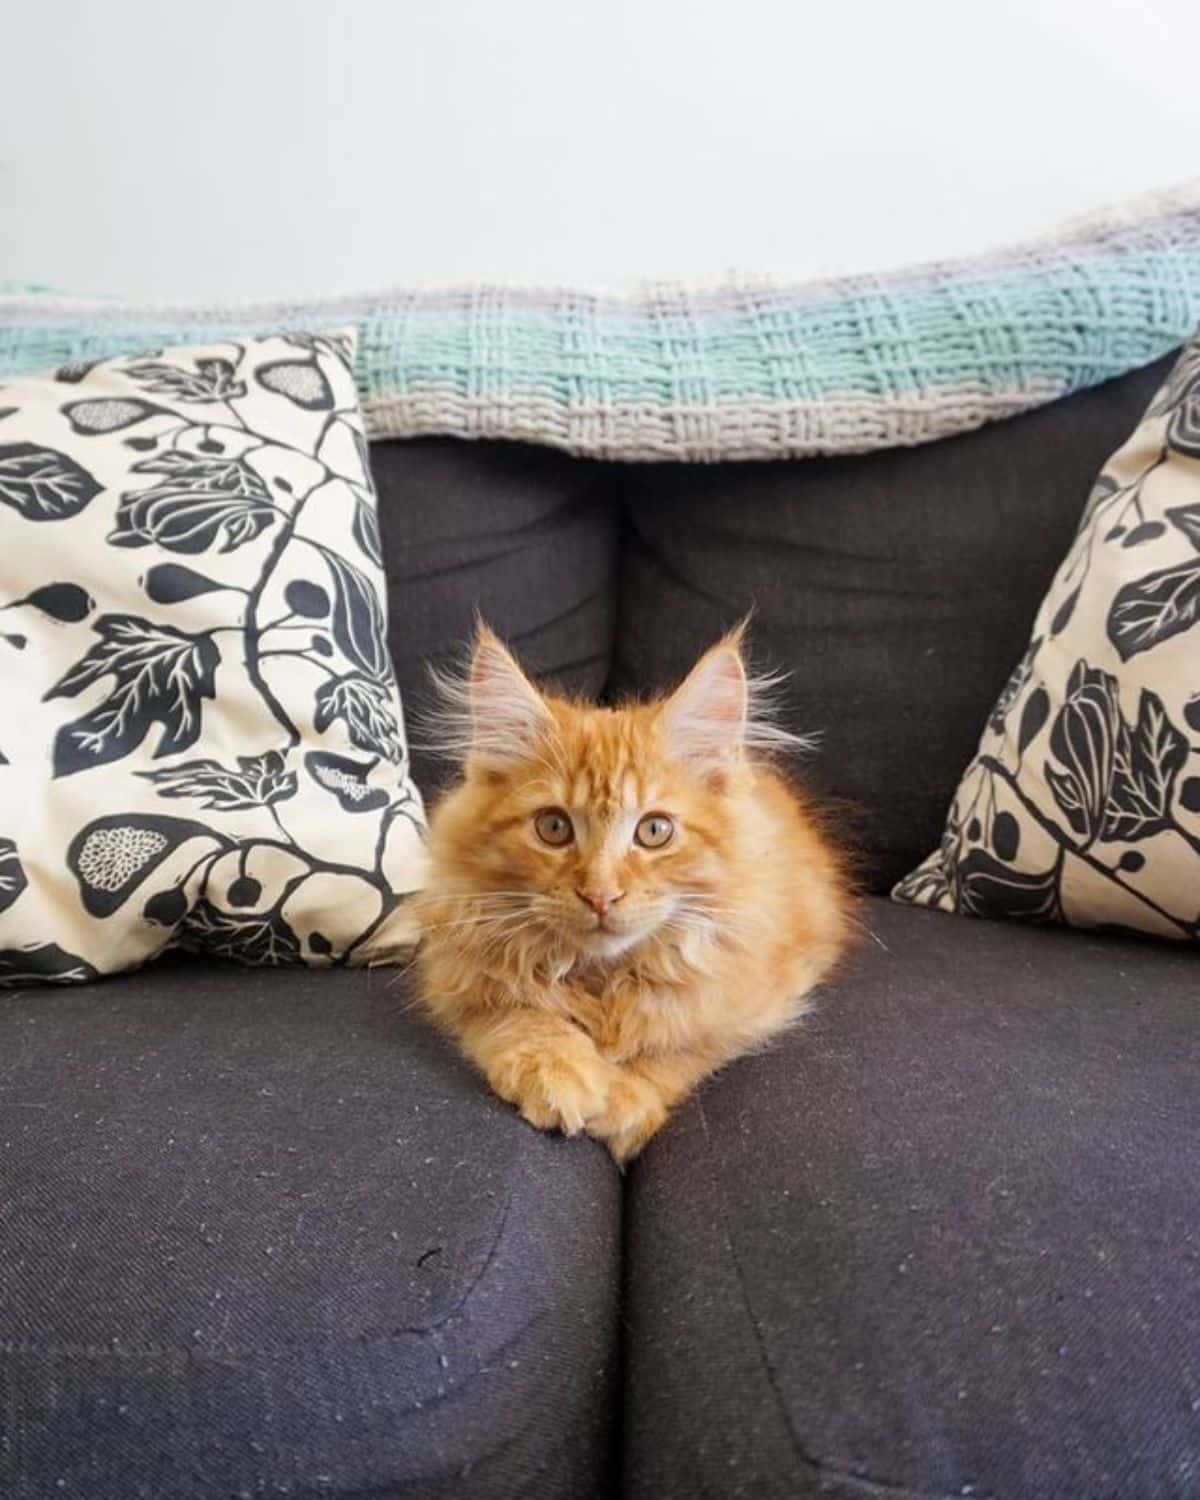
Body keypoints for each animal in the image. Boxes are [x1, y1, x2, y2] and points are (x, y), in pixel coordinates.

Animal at [414, 621, 852, 1158]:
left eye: (654, 831)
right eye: (553, 827)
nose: (601, 896)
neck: (605, 975)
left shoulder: (758, 992)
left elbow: (682, 1043)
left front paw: (624, 1096)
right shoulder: (456, 976)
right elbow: (521, 1016)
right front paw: (559, 1072)